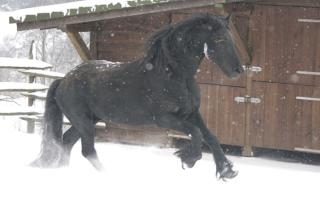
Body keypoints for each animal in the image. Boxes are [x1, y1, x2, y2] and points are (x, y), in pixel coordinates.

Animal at [31, 13, 242, 179]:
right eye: (220, 39)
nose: (238, 70)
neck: (173, 73)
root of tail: (63, 80)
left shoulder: (191, 114)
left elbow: (211, 137)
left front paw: (226, 171)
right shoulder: (164, 119)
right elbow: (197, 133)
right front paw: (189, 159)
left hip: (86, 122)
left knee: (66, 143)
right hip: (83, 122)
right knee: (87, 150)